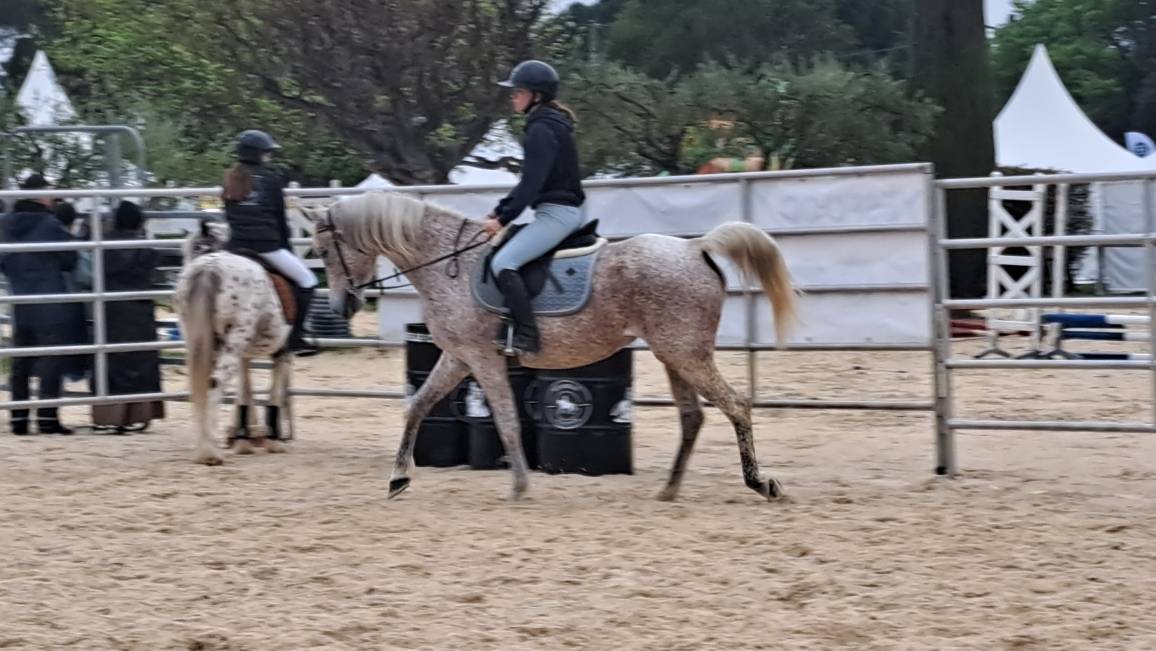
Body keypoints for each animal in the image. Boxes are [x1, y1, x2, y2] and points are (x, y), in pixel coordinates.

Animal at [172, 221, 296, 465]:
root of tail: (209, 267)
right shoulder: (281, 352)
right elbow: (274, 392)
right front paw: (273, 440)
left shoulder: (243, 355)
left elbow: (244, 392)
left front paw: (244, 439)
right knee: (214, 384)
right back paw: (210, 453)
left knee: (201, 387)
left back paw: (205, 447)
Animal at [302, 191, 798, 502]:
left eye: (324, 251)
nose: (344, 305)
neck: (448, 263)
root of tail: (696, 249)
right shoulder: (459, 357)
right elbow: (418, 406)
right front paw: (399, 478)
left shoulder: (481, 358)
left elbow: (505, 420)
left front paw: (520, 485)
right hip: (673, 354)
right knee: (693, 417)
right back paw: (670, 489)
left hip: (686, 354)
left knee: (736, 405)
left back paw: (760, 484)